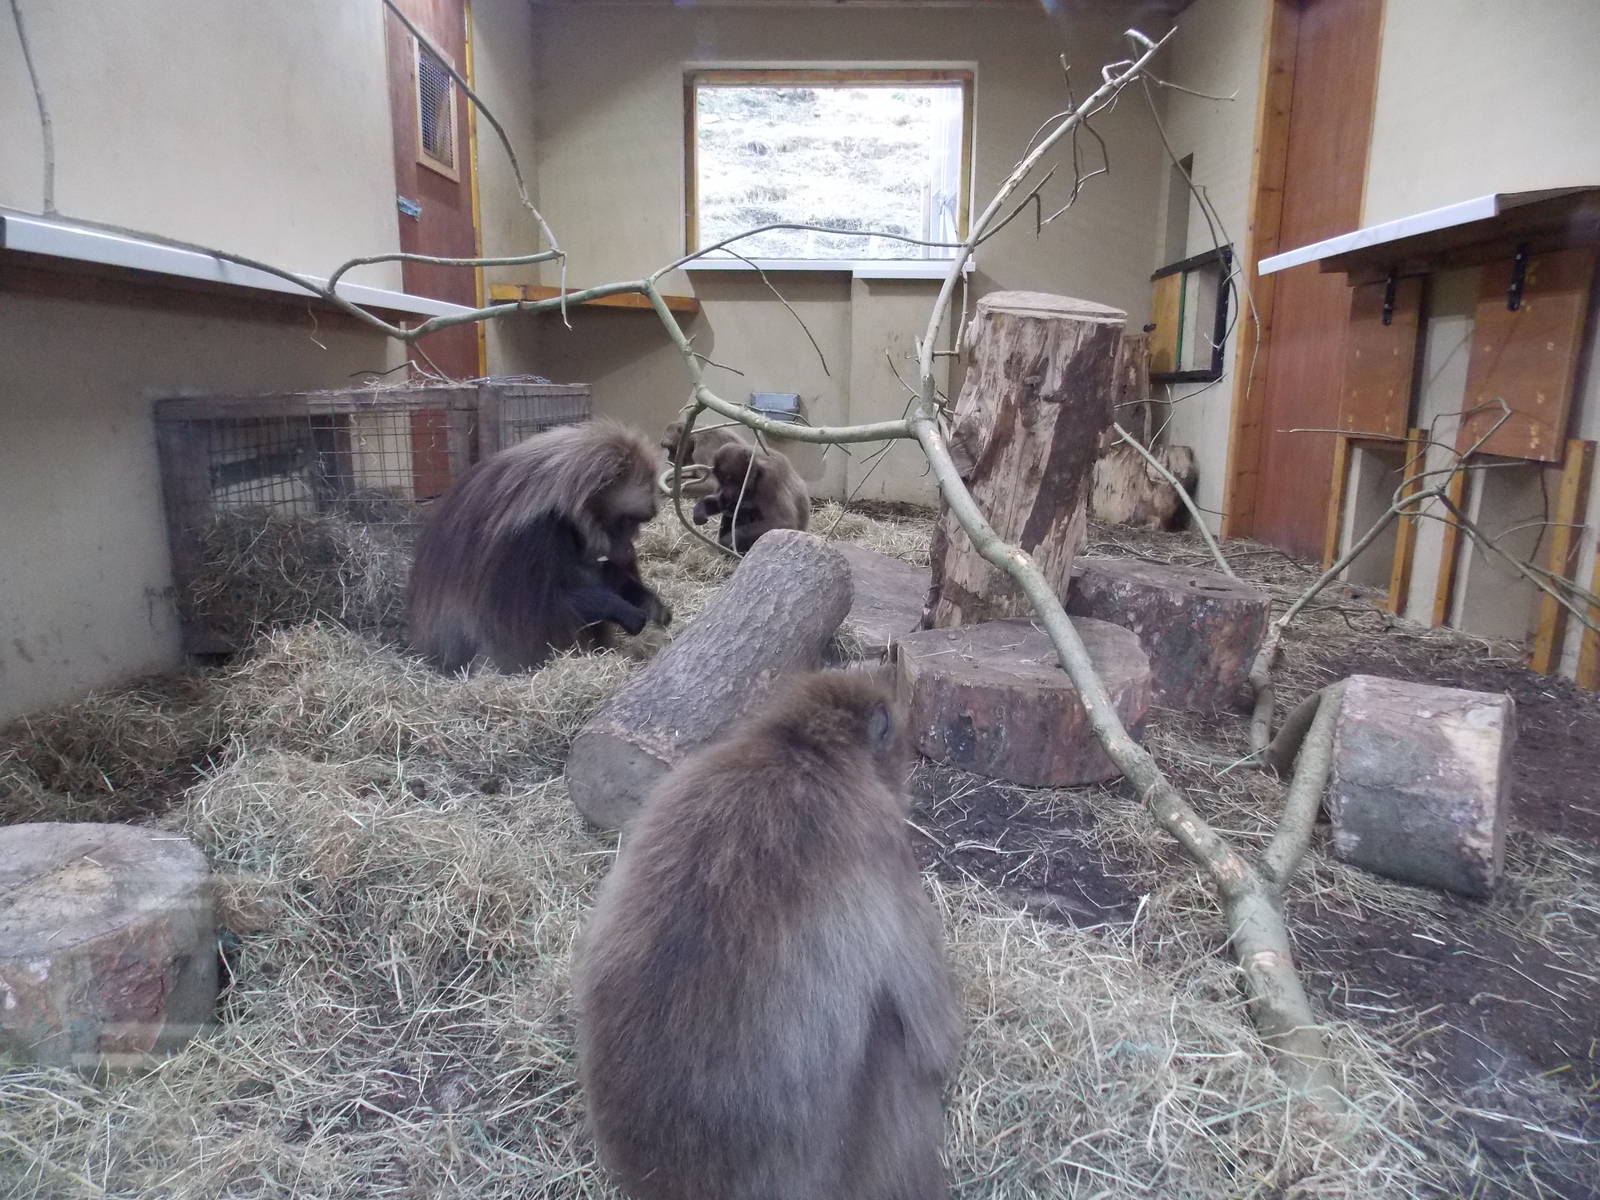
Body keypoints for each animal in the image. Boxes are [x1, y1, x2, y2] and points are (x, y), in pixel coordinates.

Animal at [406, 419, 671, 674]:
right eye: (627, 521)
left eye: (638, 522)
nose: (628, 550)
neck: (562, 505)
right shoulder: (527, 537)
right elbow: (534, 612)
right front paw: (624, 610)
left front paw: (650, 603)